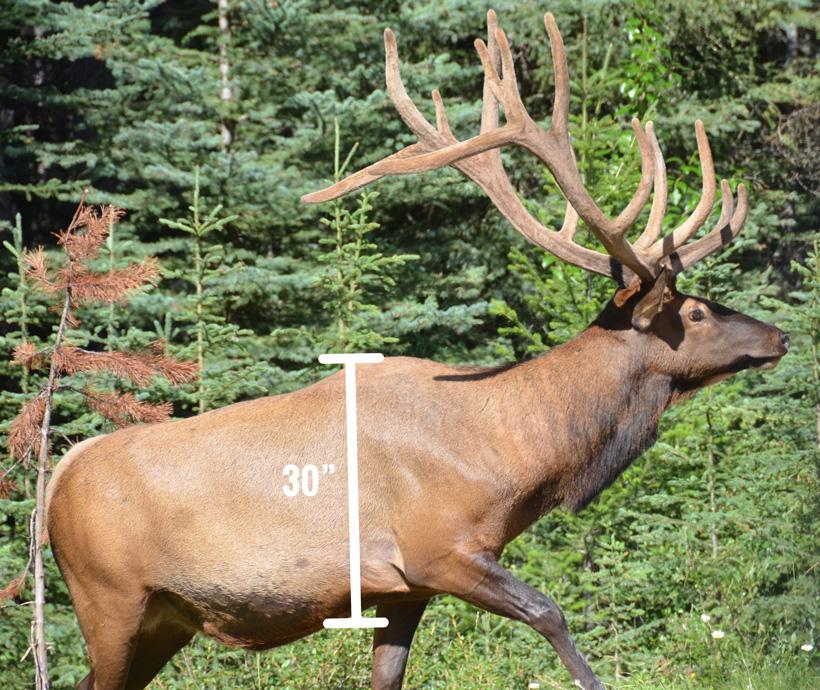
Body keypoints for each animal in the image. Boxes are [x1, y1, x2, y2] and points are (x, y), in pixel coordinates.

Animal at [45, 10, 789, 690]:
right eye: (695, 311)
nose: (780, 337)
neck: (516, 456)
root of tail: (58, 477)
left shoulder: (403, 589)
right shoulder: (440, 549)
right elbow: (552, 614)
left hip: (164, 619)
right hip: (110, 599)